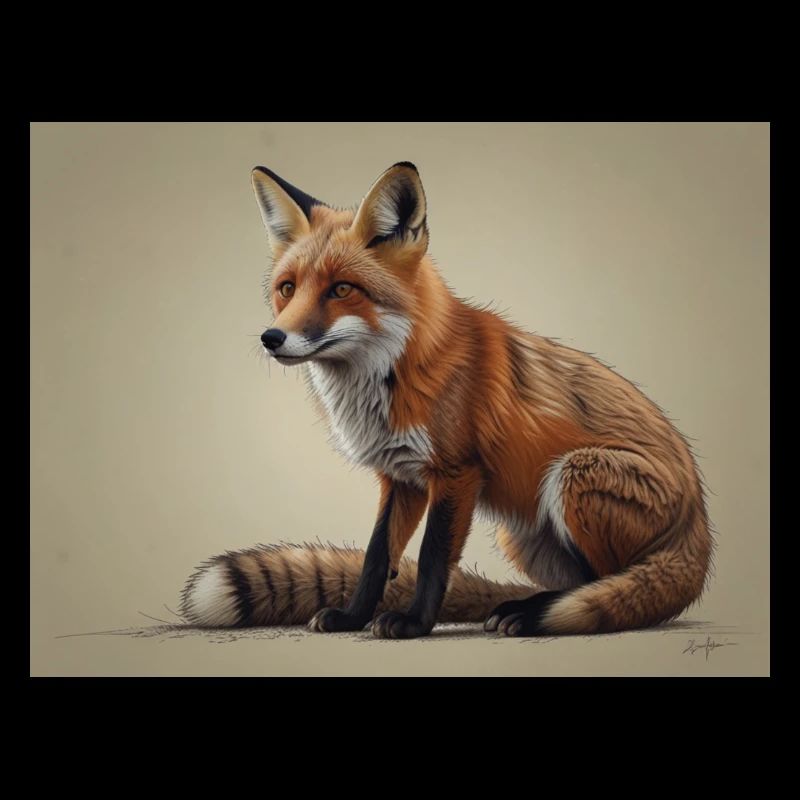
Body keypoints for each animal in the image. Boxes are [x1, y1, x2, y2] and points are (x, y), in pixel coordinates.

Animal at [179, 161, 714, 638]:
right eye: (287, 289)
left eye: (342, 289)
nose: (272, 338)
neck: (397, 374)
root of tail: (699, 526)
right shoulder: (400, 477)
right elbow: (377, 557)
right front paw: (353, 617)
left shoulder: (458, 472)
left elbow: (434, 557)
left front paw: (414, 625)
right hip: (520, 531)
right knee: (585, 584)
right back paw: (520, 606)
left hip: (572, 473)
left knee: (611, 587)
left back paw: (530, 614)